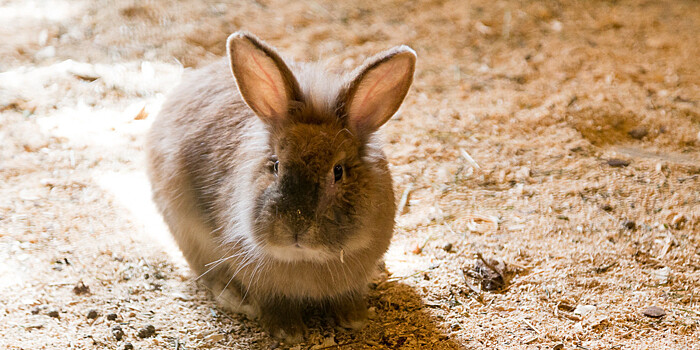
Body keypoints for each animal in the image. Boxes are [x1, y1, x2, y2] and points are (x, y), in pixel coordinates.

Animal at [144, 31, 412, 344]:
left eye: (338, 171)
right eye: (275, 165)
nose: (295, 228)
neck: (307, 260)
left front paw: (354, 319)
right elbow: (275, 304)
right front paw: (289, 332)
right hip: (186, 230)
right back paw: (236, 298)